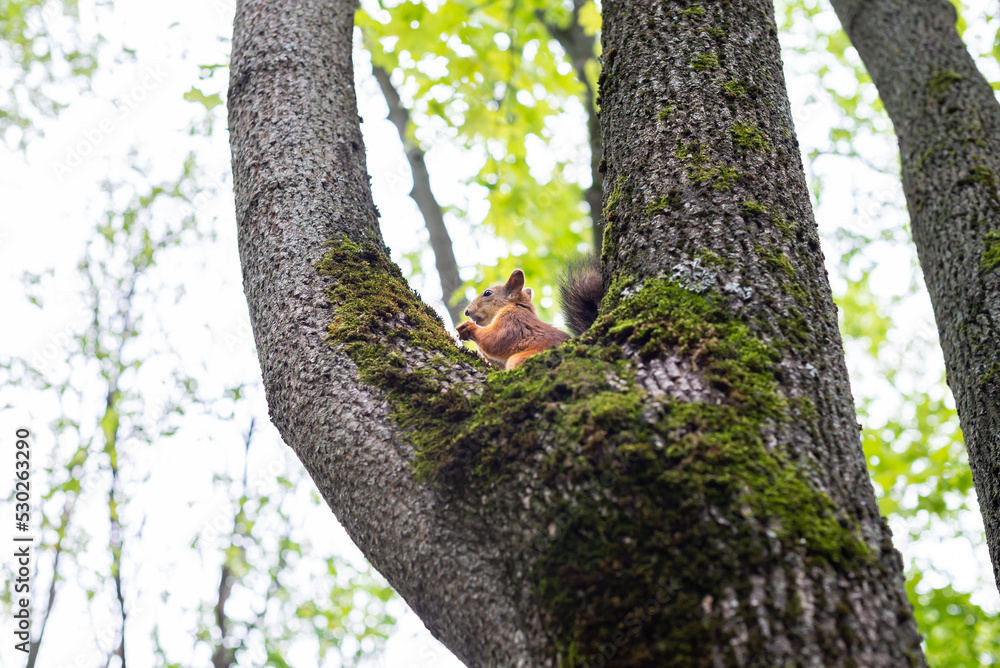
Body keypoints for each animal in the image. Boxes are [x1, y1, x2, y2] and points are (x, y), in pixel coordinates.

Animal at [456, 256, 604, 370]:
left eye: (487, 293)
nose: (467, 311)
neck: (515, 306)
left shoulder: (513, 320)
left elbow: (496, 340)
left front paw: (468, 327)